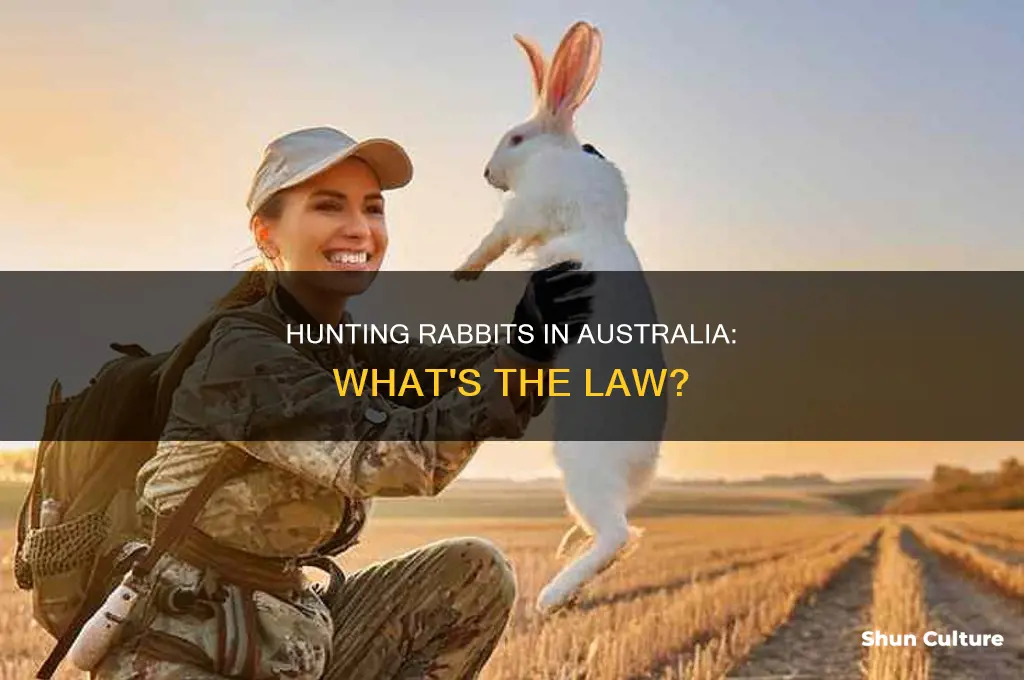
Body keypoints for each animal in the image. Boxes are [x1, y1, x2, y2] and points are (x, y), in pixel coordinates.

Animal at [453, 21, 668, 614]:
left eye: (516, 139)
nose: (486, 172)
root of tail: (641, 467)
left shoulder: (526, 211)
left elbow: (495, 239)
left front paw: (462, 272)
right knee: (619, 537)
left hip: (582, 471)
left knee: (619, 538)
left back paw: (552, 595)